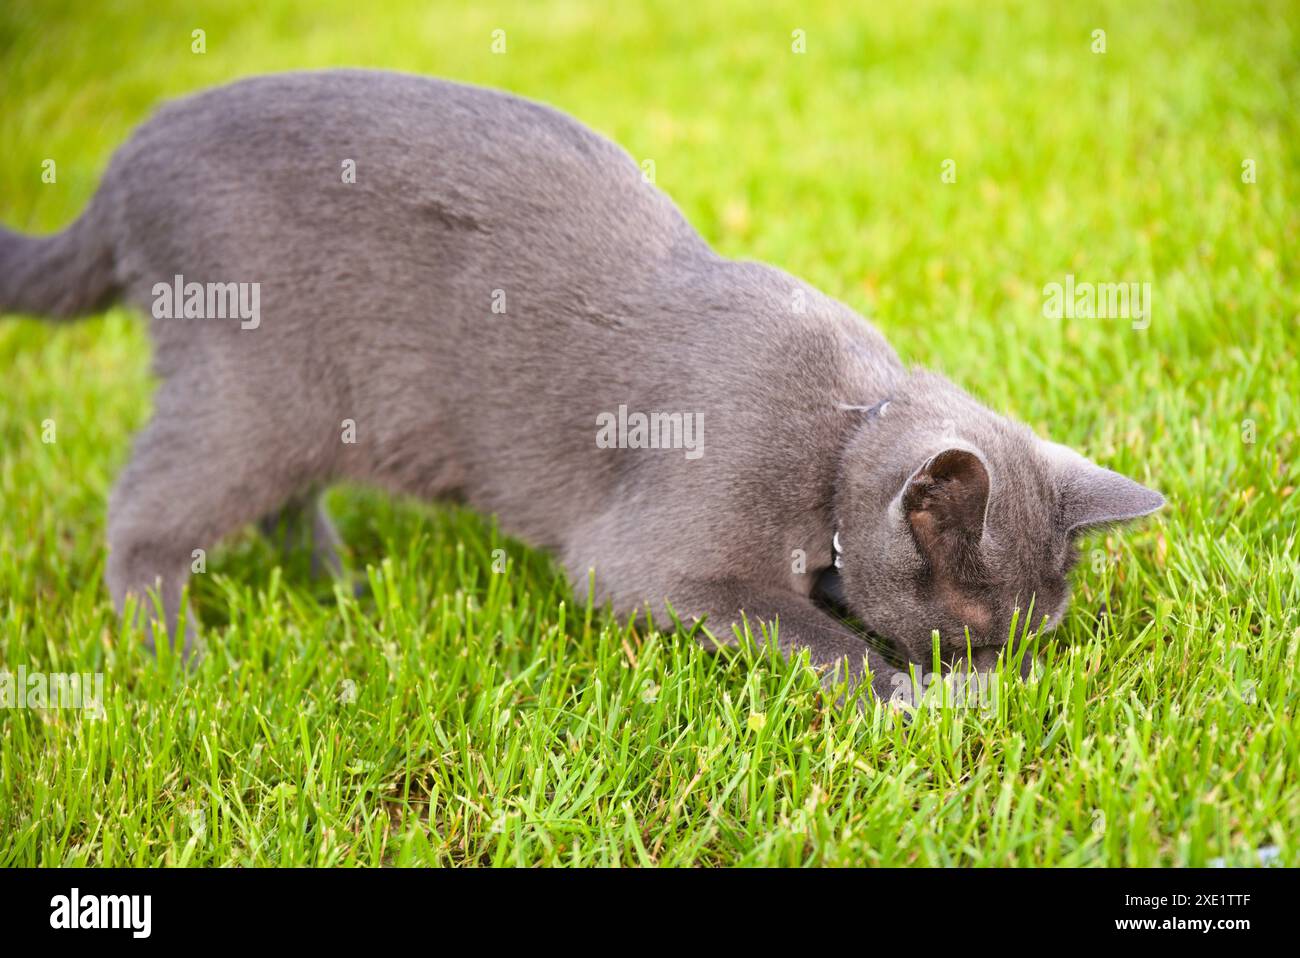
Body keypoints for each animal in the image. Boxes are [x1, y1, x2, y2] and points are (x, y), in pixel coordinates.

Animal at [2, 67, 1170, 696]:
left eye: (1034, 637)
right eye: (972, 634)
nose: (1004, 676)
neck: (843, 425)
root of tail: (122, 168)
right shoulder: (665, 557)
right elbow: (808, 636)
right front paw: (913, 697)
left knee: (288, 500)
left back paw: (340, 587)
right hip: (256, 389)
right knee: (147, 513)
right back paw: (177, 658)